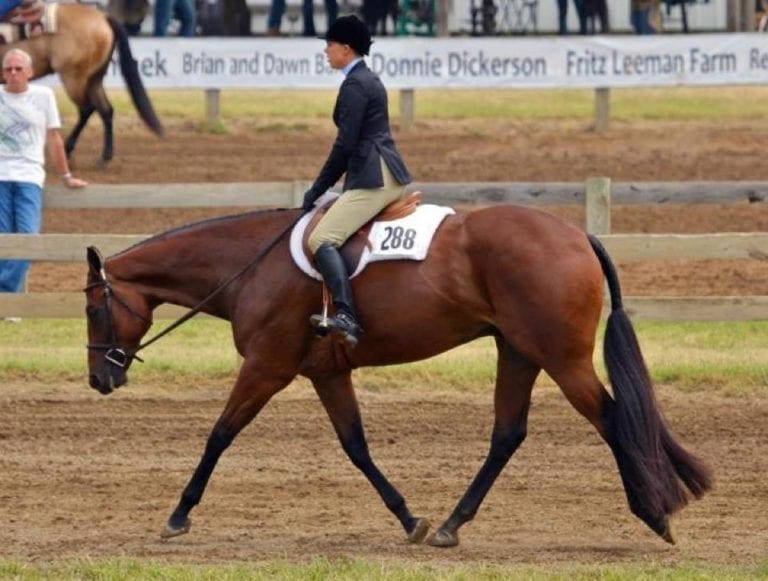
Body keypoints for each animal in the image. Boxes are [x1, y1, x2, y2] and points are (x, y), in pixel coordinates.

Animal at [0, 3, 163, 166]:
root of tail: (103, 16)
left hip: (73, 78)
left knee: (86, 109)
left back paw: (67, 150)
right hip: (94, 79)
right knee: (106, 110)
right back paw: (105, 157)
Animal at [84, 203, 712, 547]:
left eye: (92, 309)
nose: (99, 381)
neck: (249, 265)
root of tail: (577, 233)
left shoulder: (267, 366)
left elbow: (219, 434)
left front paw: (178, 515)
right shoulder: (324, 374)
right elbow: (356, 447)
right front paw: (410, 518)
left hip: (561, 358)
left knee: (611, 418)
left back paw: (655, 513)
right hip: (519, 352)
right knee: (508, 433)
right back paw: (452, 524)